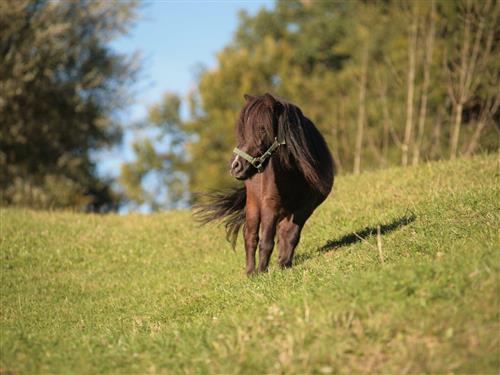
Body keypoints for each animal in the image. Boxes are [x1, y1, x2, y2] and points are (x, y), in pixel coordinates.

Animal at [193, 94, 334, 276]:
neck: (294, 174)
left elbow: (290, 235)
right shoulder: (269, 205)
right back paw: (250, 272)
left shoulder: (306, 208)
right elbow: (266, 240)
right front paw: (261, 272)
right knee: (251, 237)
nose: (235, 165)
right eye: (243, 130)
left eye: (261, 129)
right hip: (253, 204)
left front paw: (284, 264)